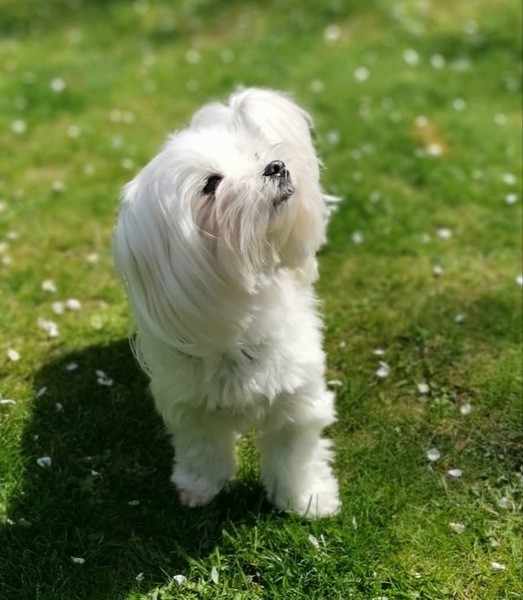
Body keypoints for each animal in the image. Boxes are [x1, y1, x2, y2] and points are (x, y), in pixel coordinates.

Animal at [113, 88, 340, 517]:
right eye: (211, 184)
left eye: (255, 155)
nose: (276, 166)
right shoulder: (190, 407)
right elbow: (203, 453)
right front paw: (200, 489)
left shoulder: (296, 400)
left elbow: (294, 457)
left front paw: (305, 499)